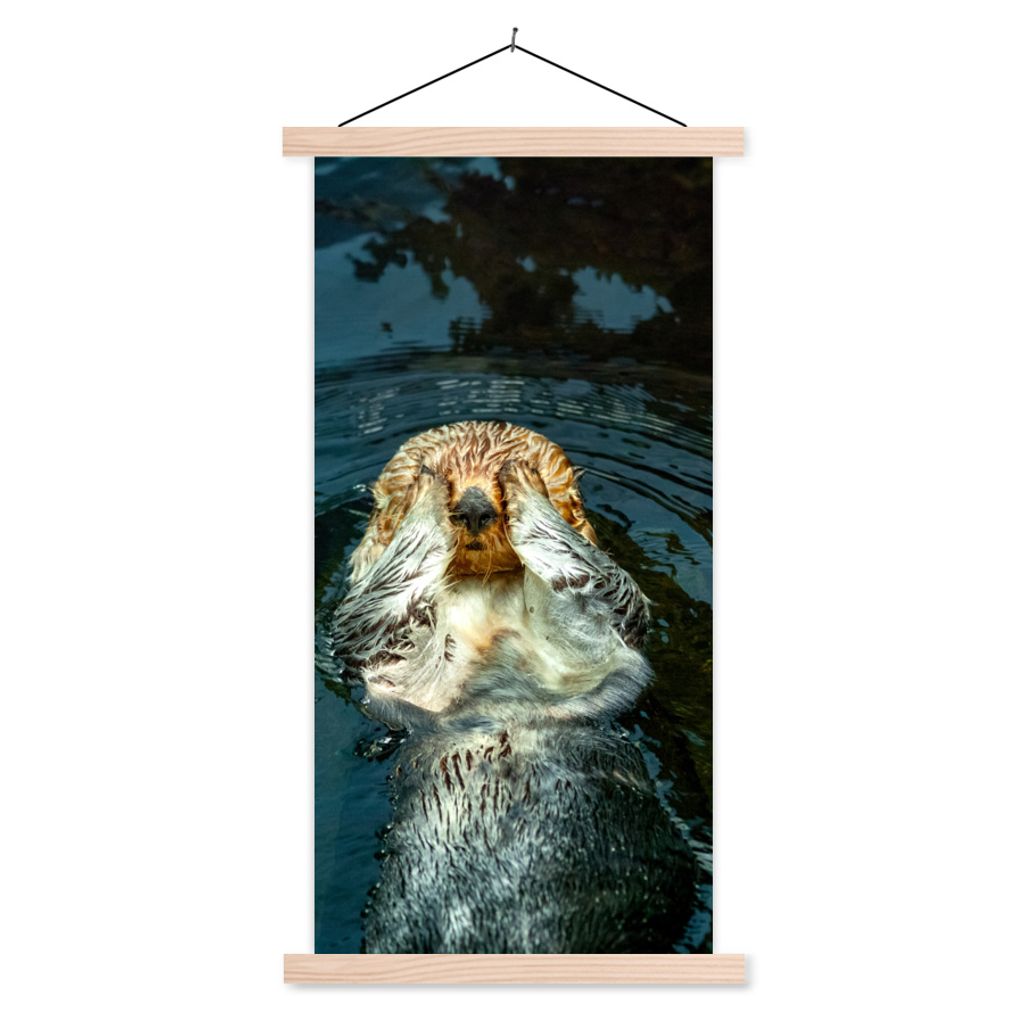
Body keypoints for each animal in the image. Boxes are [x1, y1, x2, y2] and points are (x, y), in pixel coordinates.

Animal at [333, 420, 693, 952]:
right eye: (446, 471)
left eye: (496, 479)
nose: (474, 505)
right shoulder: (379, 644)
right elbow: (383, 599)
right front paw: (424, 490)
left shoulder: (605, 629)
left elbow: (591, 576)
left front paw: (527, 482)